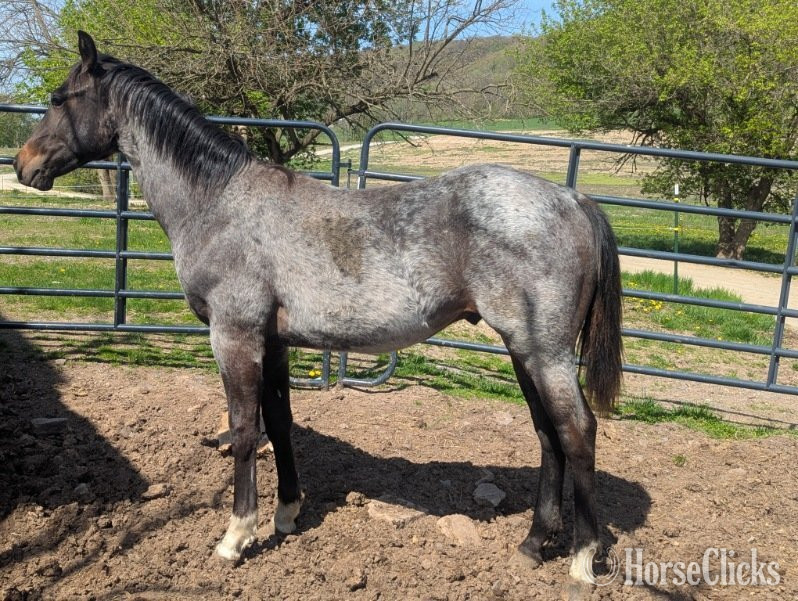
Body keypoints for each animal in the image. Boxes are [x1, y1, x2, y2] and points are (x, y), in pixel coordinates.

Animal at [14, 32, 623, 596]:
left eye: (59, 98)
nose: (23, 164)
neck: (219, 203)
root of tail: (571, 199)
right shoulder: (273, 342)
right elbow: (280, 423)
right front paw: (286, 514)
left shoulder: (234, 336)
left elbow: (244, 429)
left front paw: (235, 537)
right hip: (524, 350)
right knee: (547, 436)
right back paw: (533, 544)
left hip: (543, 352)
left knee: (577, 431)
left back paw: (581, 560)